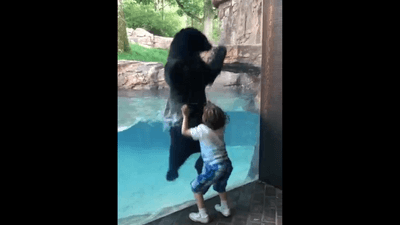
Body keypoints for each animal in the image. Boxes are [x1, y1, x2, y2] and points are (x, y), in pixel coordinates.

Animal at [162, 27, 225, 181]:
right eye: (204, 38)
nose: (210, 44)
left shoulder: (200, 68)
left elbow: (210, 72)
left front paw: (221, 49)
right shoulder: (176, 69)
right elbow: (175, 75)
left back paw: (198, 165)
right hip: (178, 139)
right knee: (174, 156)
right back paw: (172, 173)